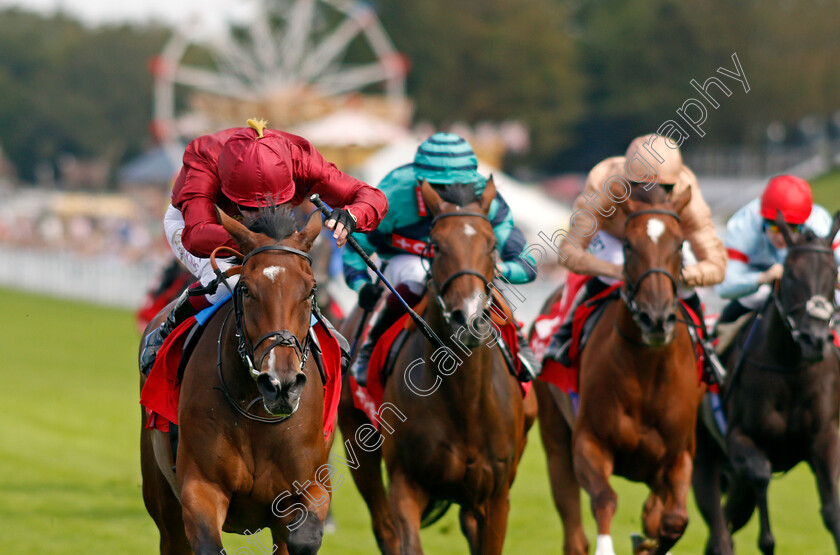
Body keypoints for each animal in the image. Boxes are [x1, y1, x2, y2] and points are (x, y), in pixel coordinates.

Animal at [139, 208, 334, 555]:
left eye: (310, 289)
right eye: (246, 289)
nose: (281, 384)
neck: (257, 413)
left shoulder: (310, 486)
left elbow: (304, 536)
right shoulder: (201, 487)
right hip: (162, 500)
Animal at [334, 179, 540, 555]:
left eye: (491, 245)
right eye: (438, 246)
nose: (468, 318)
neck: (465, 401)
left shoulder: (496, 496)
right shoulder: (406, 483)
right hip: (357, 440)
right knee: (384, 527)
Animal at [536, 187, 704, 555]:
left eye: (680, 245)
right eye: (628, 245)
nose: (656, 319)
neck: (647, 372)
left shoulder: (679, 454)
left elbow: (674, 521)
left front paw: (647, 540)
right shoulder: (589, 442)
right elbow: (604, 498)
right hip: (555, 441)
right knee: (573, 531)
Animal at [692, 213, 840, 555]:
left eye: (833, 274)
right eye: (790, 276)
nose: (815, 339)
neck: (791, 370)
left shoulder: (825, 437)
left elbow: (832, 512)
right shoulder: (738, 438)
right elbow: (761, 474)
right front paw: (768, 540)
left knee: (725, 525)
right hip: (702, 455)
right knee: (718, 525)